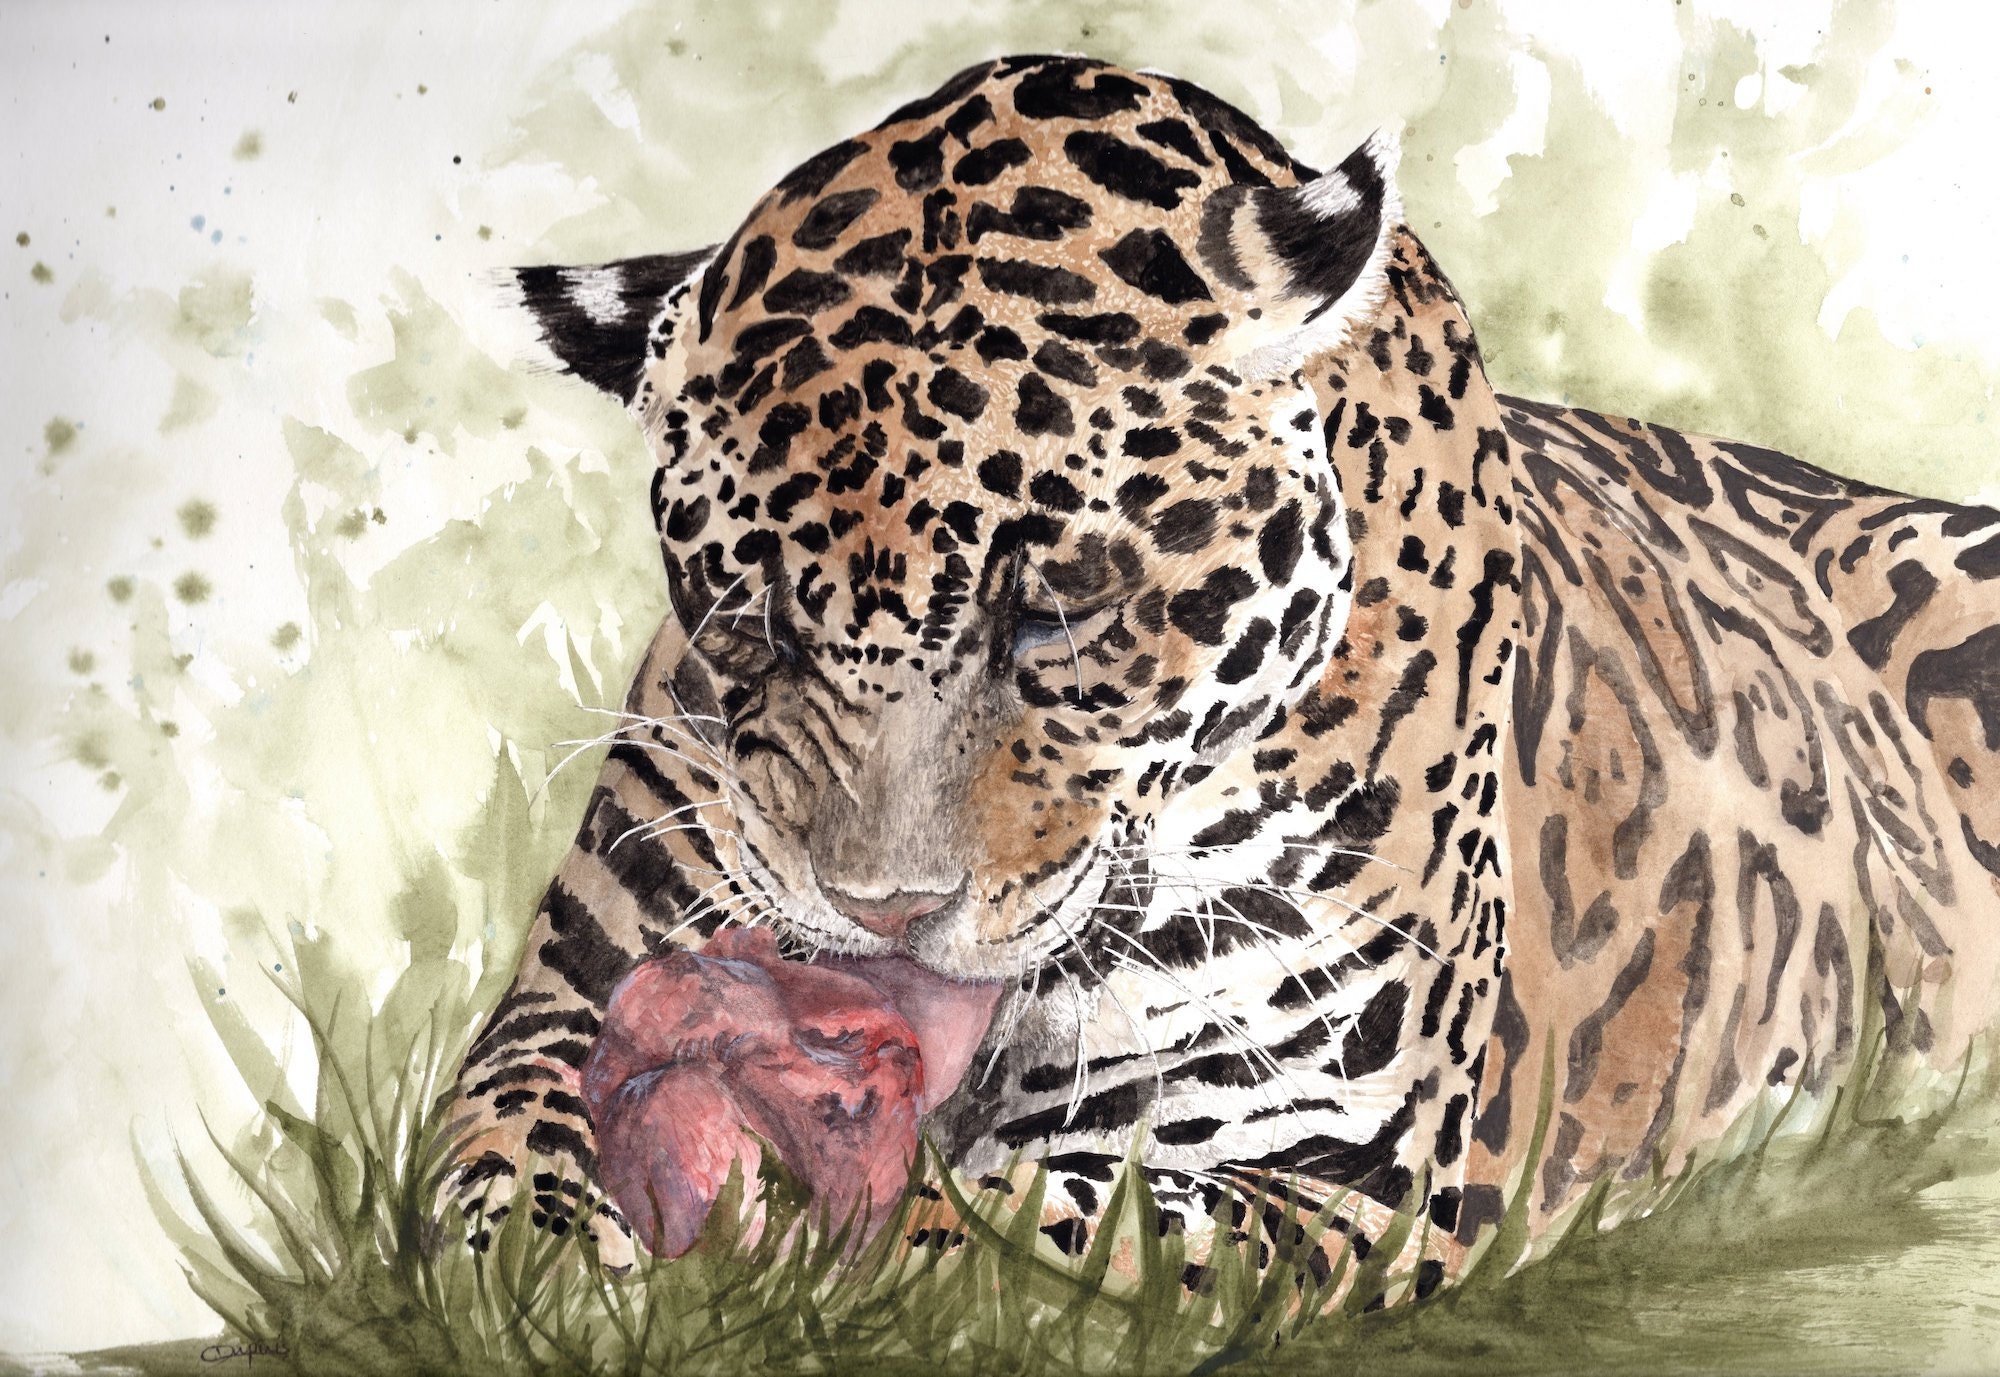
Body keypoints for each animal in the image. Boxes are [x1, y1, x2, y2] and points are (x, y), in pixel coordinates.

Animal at [438, 54, 2000, 1290]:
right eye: (747, 613)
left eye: (1053, 614)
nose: (882, 915)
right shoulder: (560, 998)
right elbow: (499, 1151)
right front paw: (563, 1274)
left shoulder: (1343, 1175)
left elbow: (1022, 1226)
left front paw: (818, 1277)